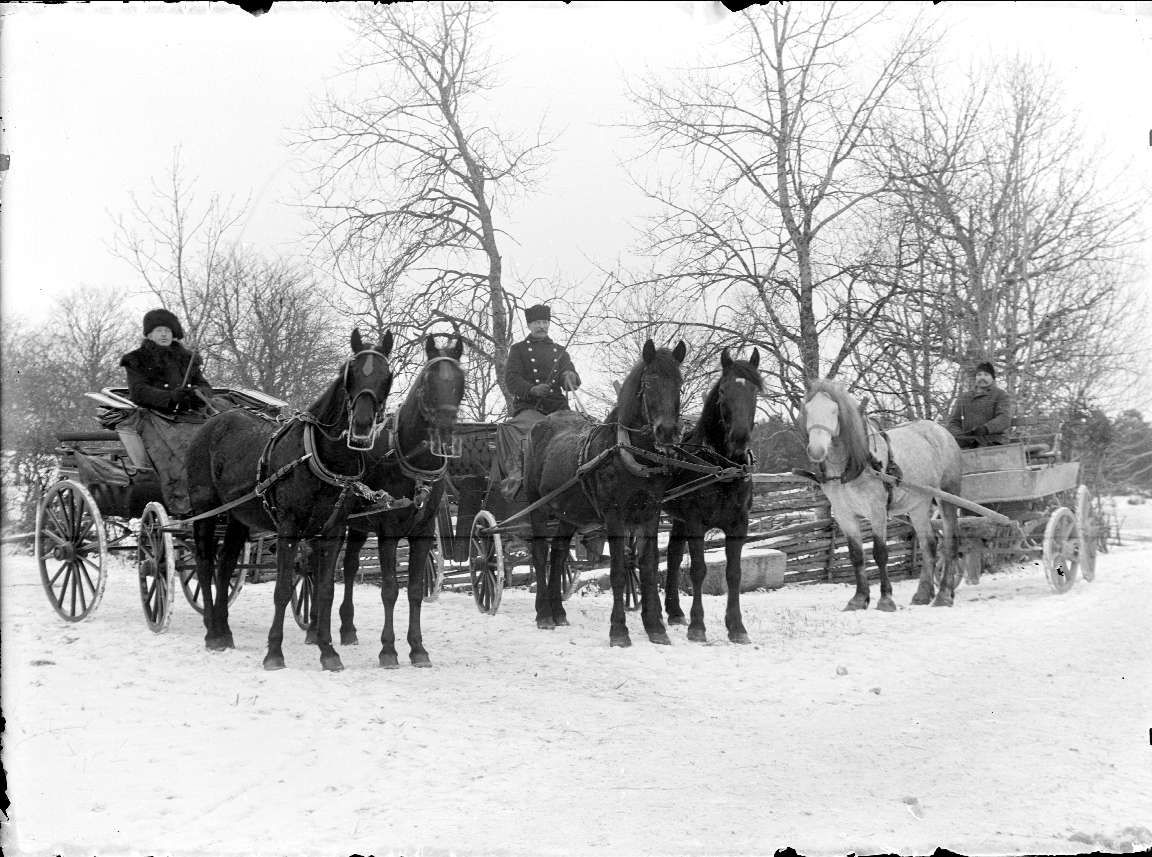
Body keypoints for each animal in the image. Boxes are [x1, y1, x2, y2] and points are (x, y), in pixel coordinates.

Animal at [188, 327, 396, 668]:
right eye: (350, 373)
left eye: (386, 376)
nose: (362, 428)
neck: (321, 458)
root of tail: (213, 421)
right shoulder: (289, 528)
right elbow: (283, 590)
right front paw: (274, 652)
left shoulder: (333, 531)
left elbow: (325, 591)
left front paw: (328, 651)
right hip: (205, 509)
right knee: (205, 564)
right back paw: (210, 632)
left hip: (238, 517)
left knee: (225, 565)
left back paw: (224, 630)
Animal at [329, 334, 463, 668]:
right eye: (428, 379)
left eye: (460, 379)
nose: (444, 432)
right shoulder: (388, 530)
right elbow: (390, 589)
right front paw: (388, 650)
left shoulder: (423, 533)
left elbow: (414, 590)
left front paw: (417, 648)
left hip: (359, 526)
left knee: (350, 566)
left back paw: (347, 629)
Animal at [523, 338, 681, 645]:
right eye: (650, 381)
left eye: (679, 382)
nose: (667, 431)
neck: (629, 452)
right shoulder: (614, 515)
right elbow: (618, 570)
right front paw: (619, 630)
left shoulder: (650, 513)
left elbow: (647, 567)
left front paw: (655, 627)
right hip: (538, 504)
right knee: (539, 552)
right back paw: (543, 614)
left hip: (567, 513)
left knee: (558, 554)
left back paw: (558, 611)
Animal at [663, 347, 760, 645]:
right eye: (723, 391)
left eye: (755, 390)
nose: (739, 438)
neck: (722, 467)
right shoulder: (696, 522)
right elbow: (698, 570)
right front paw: (698, 626)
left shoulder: (738, 524)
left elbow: (734, 573)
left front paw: (737, 626)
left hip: (678, 519)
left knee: (673, 555)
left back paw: (674, 612)